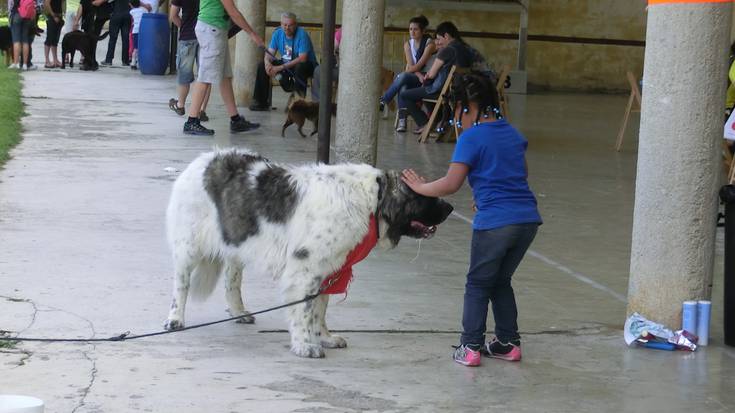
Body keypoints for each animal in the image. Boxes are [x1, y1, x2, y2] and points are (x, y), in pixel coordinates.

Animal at [165, 149, 454, 358]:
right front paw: (305, 345)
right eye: (424, 196)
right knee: (181, 284)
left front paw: (324, 337)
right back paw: (175, 319)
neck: (371, 200)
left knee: (231, 281)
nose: (450, 207)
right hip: (188, 246)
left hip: (237, 240)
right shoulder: (305, 269)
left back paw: (239, 312)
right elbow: (304, 309)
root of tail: (203, 160)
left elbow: (319, 308)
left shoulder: (327, 267)